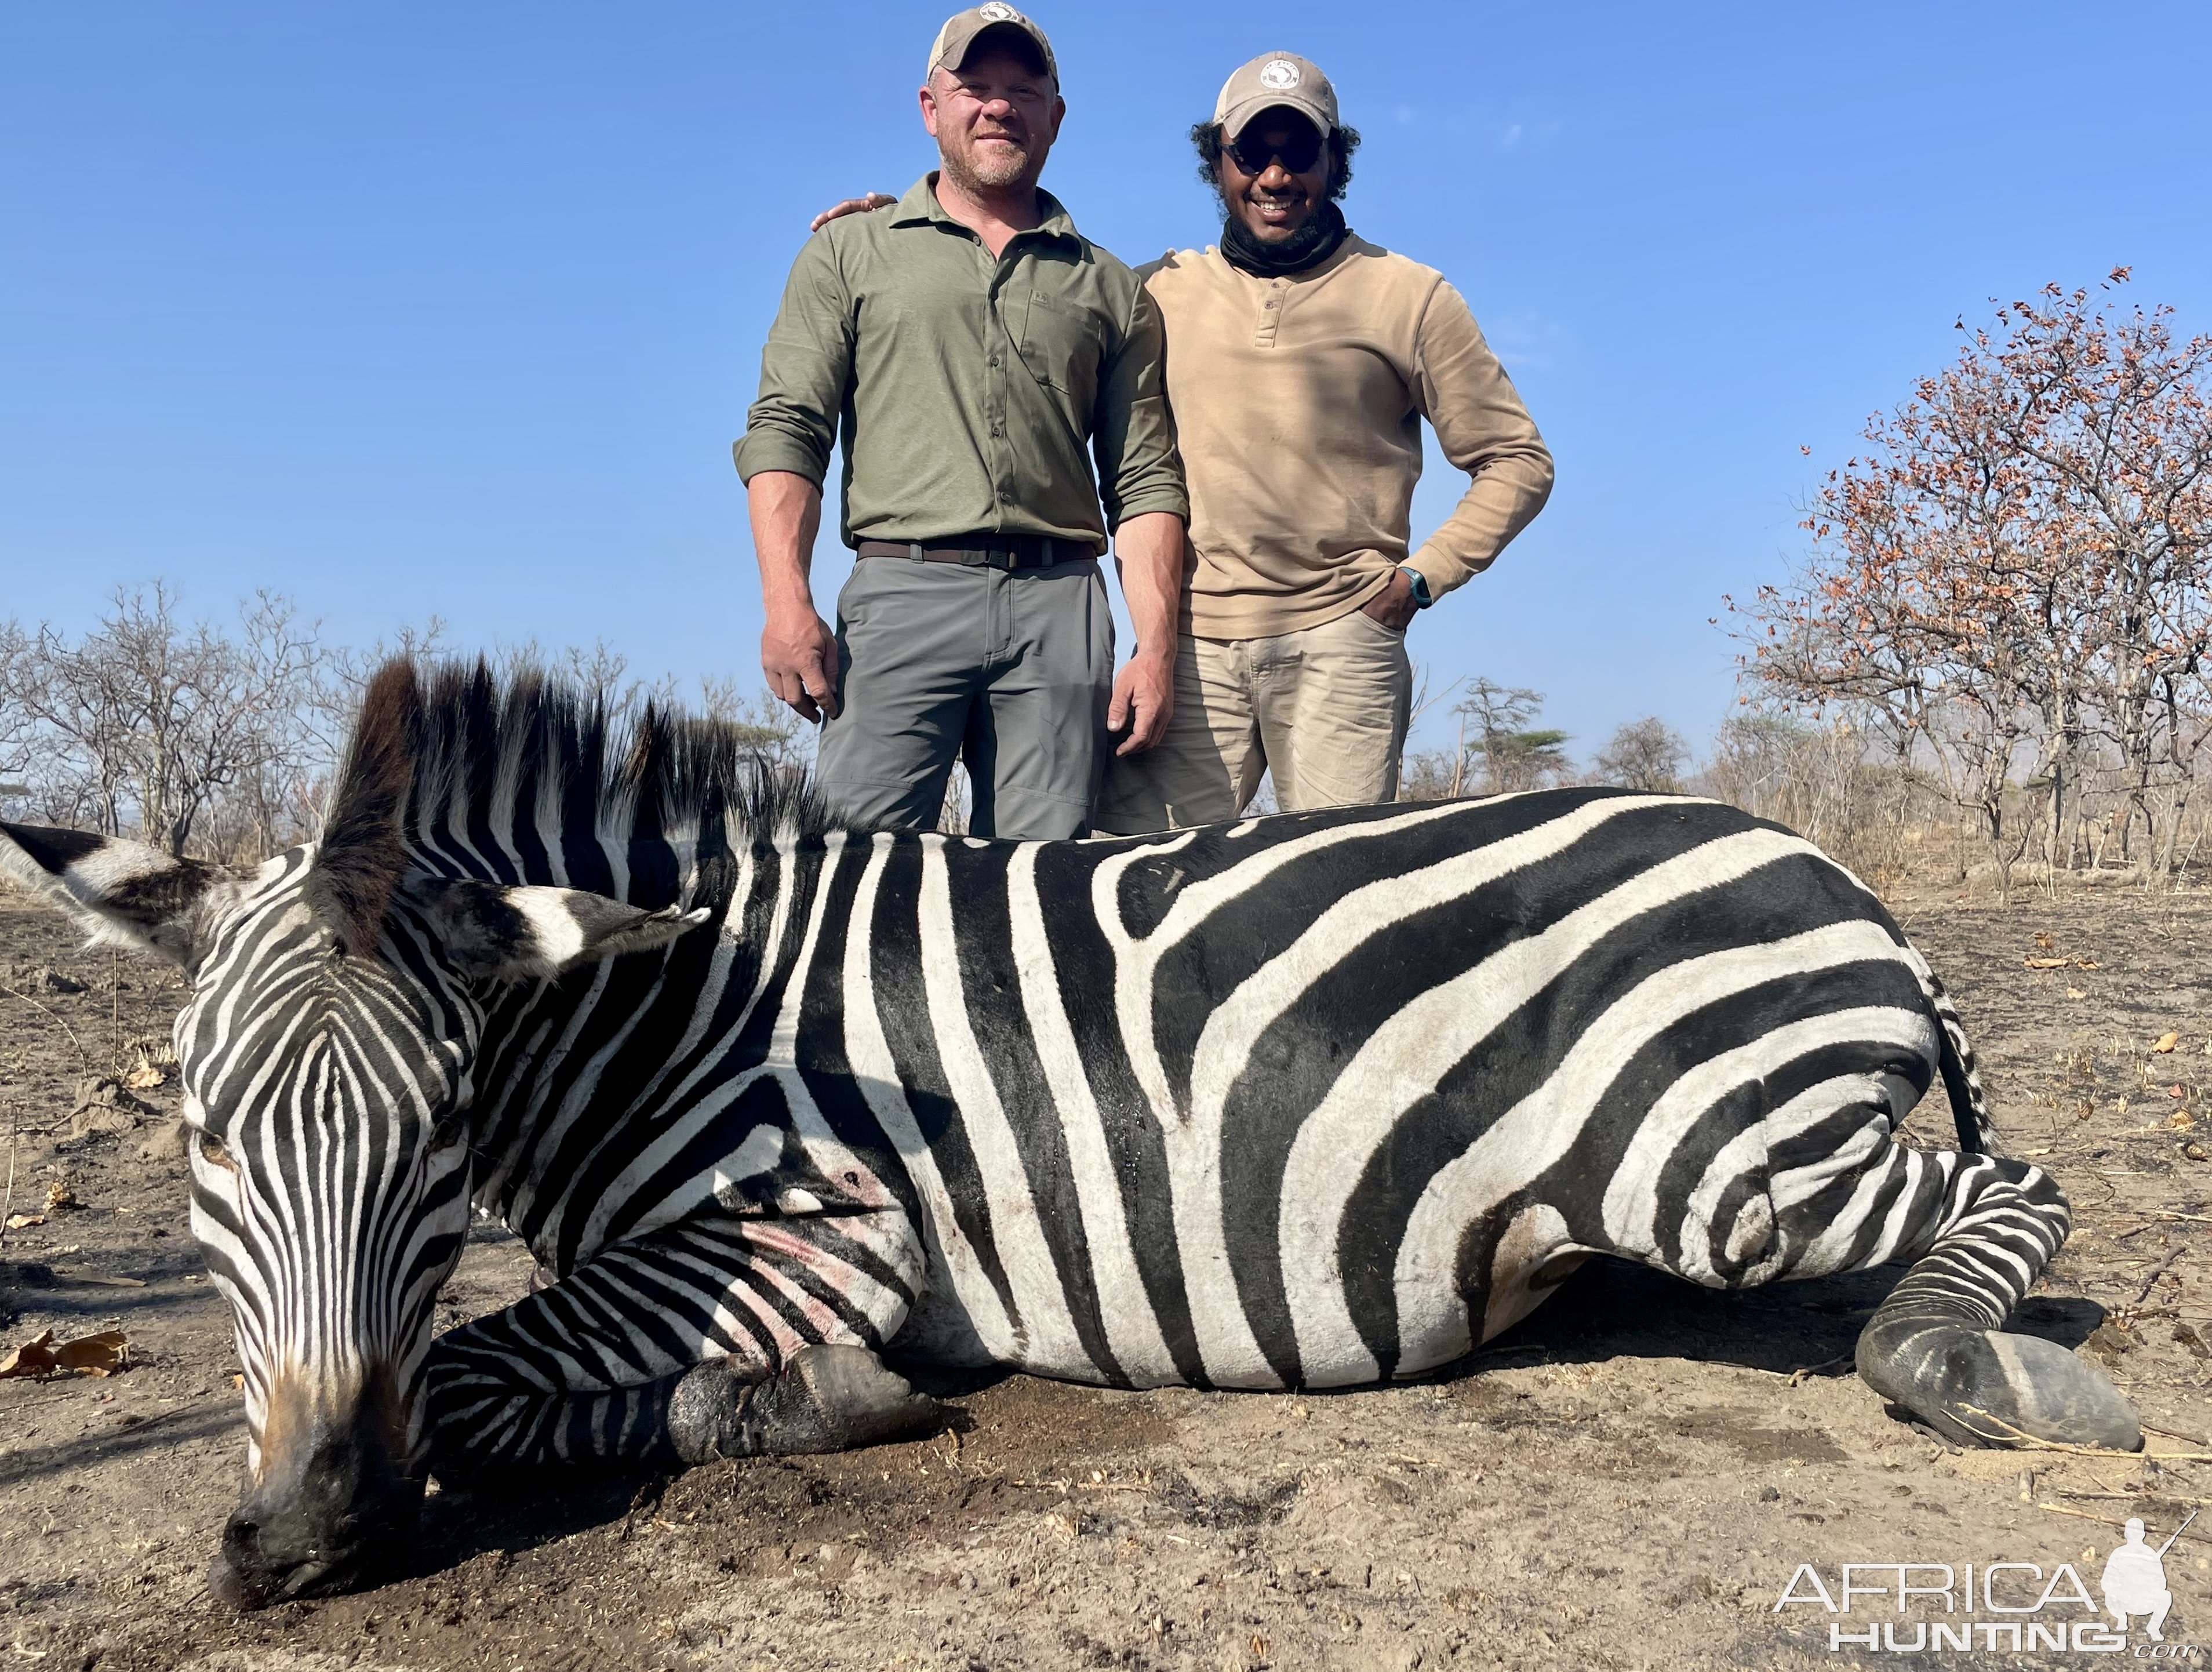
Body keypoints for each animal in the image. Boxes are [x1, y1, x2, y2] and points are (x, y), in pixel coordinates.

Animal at [0, 663, 2141, 1610]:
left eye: (438, 1133)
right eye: (199, 1137)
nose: (303, 1540)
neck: (673, 1002)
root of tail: (1843, 879)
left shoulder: (813, 1226)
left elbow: (462, 1367)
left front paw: (819, 1401)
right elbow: (466, 1367)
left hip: (1723, 1156)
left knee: (2004, 1194)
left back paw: (1977, 1372)